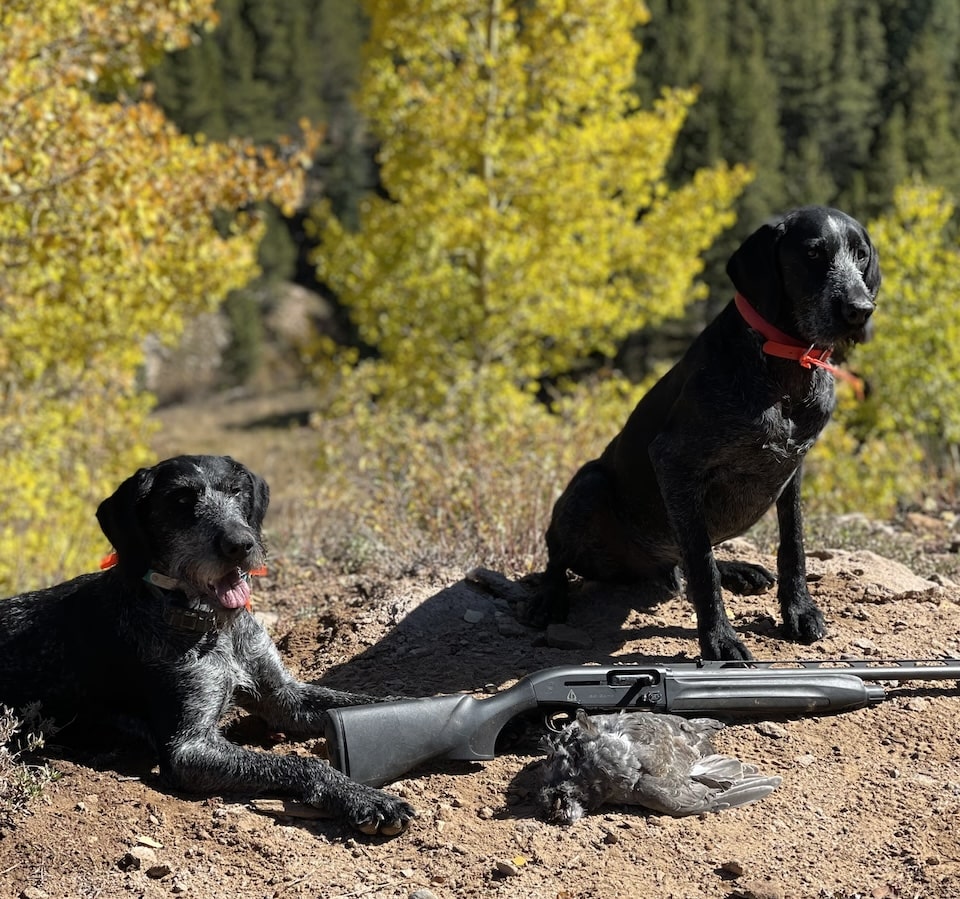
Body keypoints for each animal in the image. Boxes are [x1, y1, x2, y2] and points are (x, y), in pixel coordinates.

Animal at [0, 454, 416, 840]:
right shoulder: (189, 750)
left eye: (237, 491)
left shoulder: (284, 697)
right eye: (182, 500)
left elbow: (362, 701)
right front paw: (364, 797)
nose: (240, 544)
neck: (213, 625)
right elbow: (301, 764)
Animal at [520, 209, 880, 660]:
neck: (783, 366)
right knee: (557, 556)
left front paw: (798, 610)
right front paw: (720, 639)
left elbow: (792, 545)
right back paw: (549, 597)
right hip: (590, 484)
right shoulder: (674, 463)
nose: (860, 310)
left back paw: (737, 569)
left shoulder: (793, 466)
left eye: (861, 254)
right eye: (813, 253)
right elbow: (701, 563)